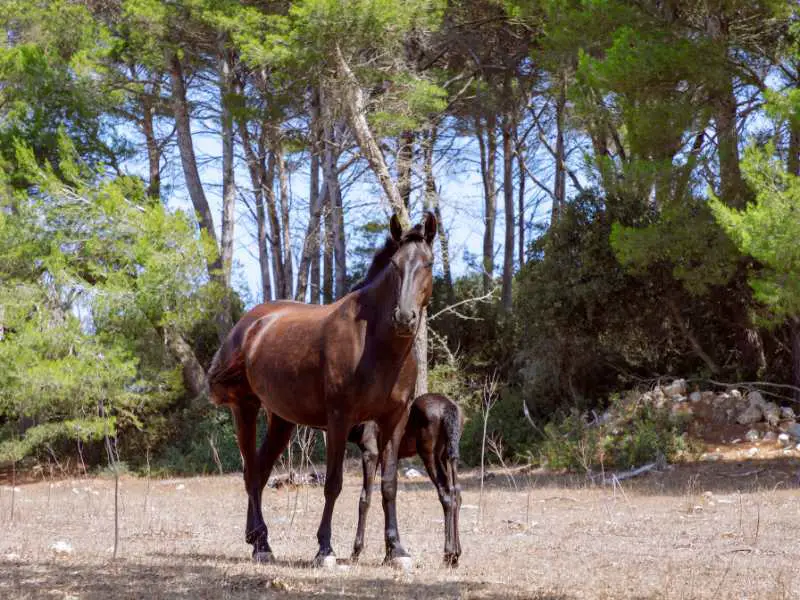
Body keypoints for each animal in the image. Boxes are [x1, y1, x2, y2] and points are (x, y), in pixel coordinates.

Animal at [209, 212, 434, 568]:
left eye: (428, 263)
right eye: (395, 265)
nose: (404, 317)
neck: (374, 345)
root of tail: (249, 325)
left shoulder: (394, 420)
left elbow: (388, 484)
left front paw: (396, 550)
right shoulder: (339, 420)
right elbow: (333, 484)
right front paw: (325, 549)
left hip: (282, 420)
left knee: (260, 471)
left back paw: (257, 540)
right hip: (244, 407)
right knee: (250, 473)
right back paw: (262, 545)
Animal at [348, 394, 466, 568]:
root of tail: (449, 408)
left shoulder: (370, 452)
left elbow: (365, 499)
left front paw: (356, 552)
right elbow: (386, 498)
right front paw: (390, 554)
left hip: (430, 454)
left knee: (446, 494)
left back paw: (449, 553)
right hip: (449, 455)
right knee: (456, 493)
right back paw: (455, 555)